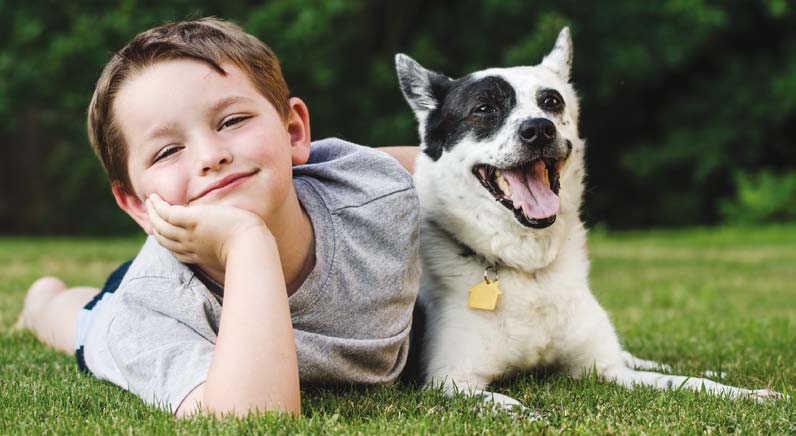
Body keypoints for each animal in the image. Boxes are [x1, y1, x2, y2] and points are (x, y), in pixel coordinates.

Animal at [394, 27, 780, 408]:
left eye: (551, 102)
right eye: (484, 108)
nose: (539, 129)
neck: (530, 271)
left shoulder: (607, 370)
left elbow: (686, 382)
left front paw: (745, 393)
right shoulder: (449, 381)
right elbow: (500, 403)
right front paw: (525, 413)